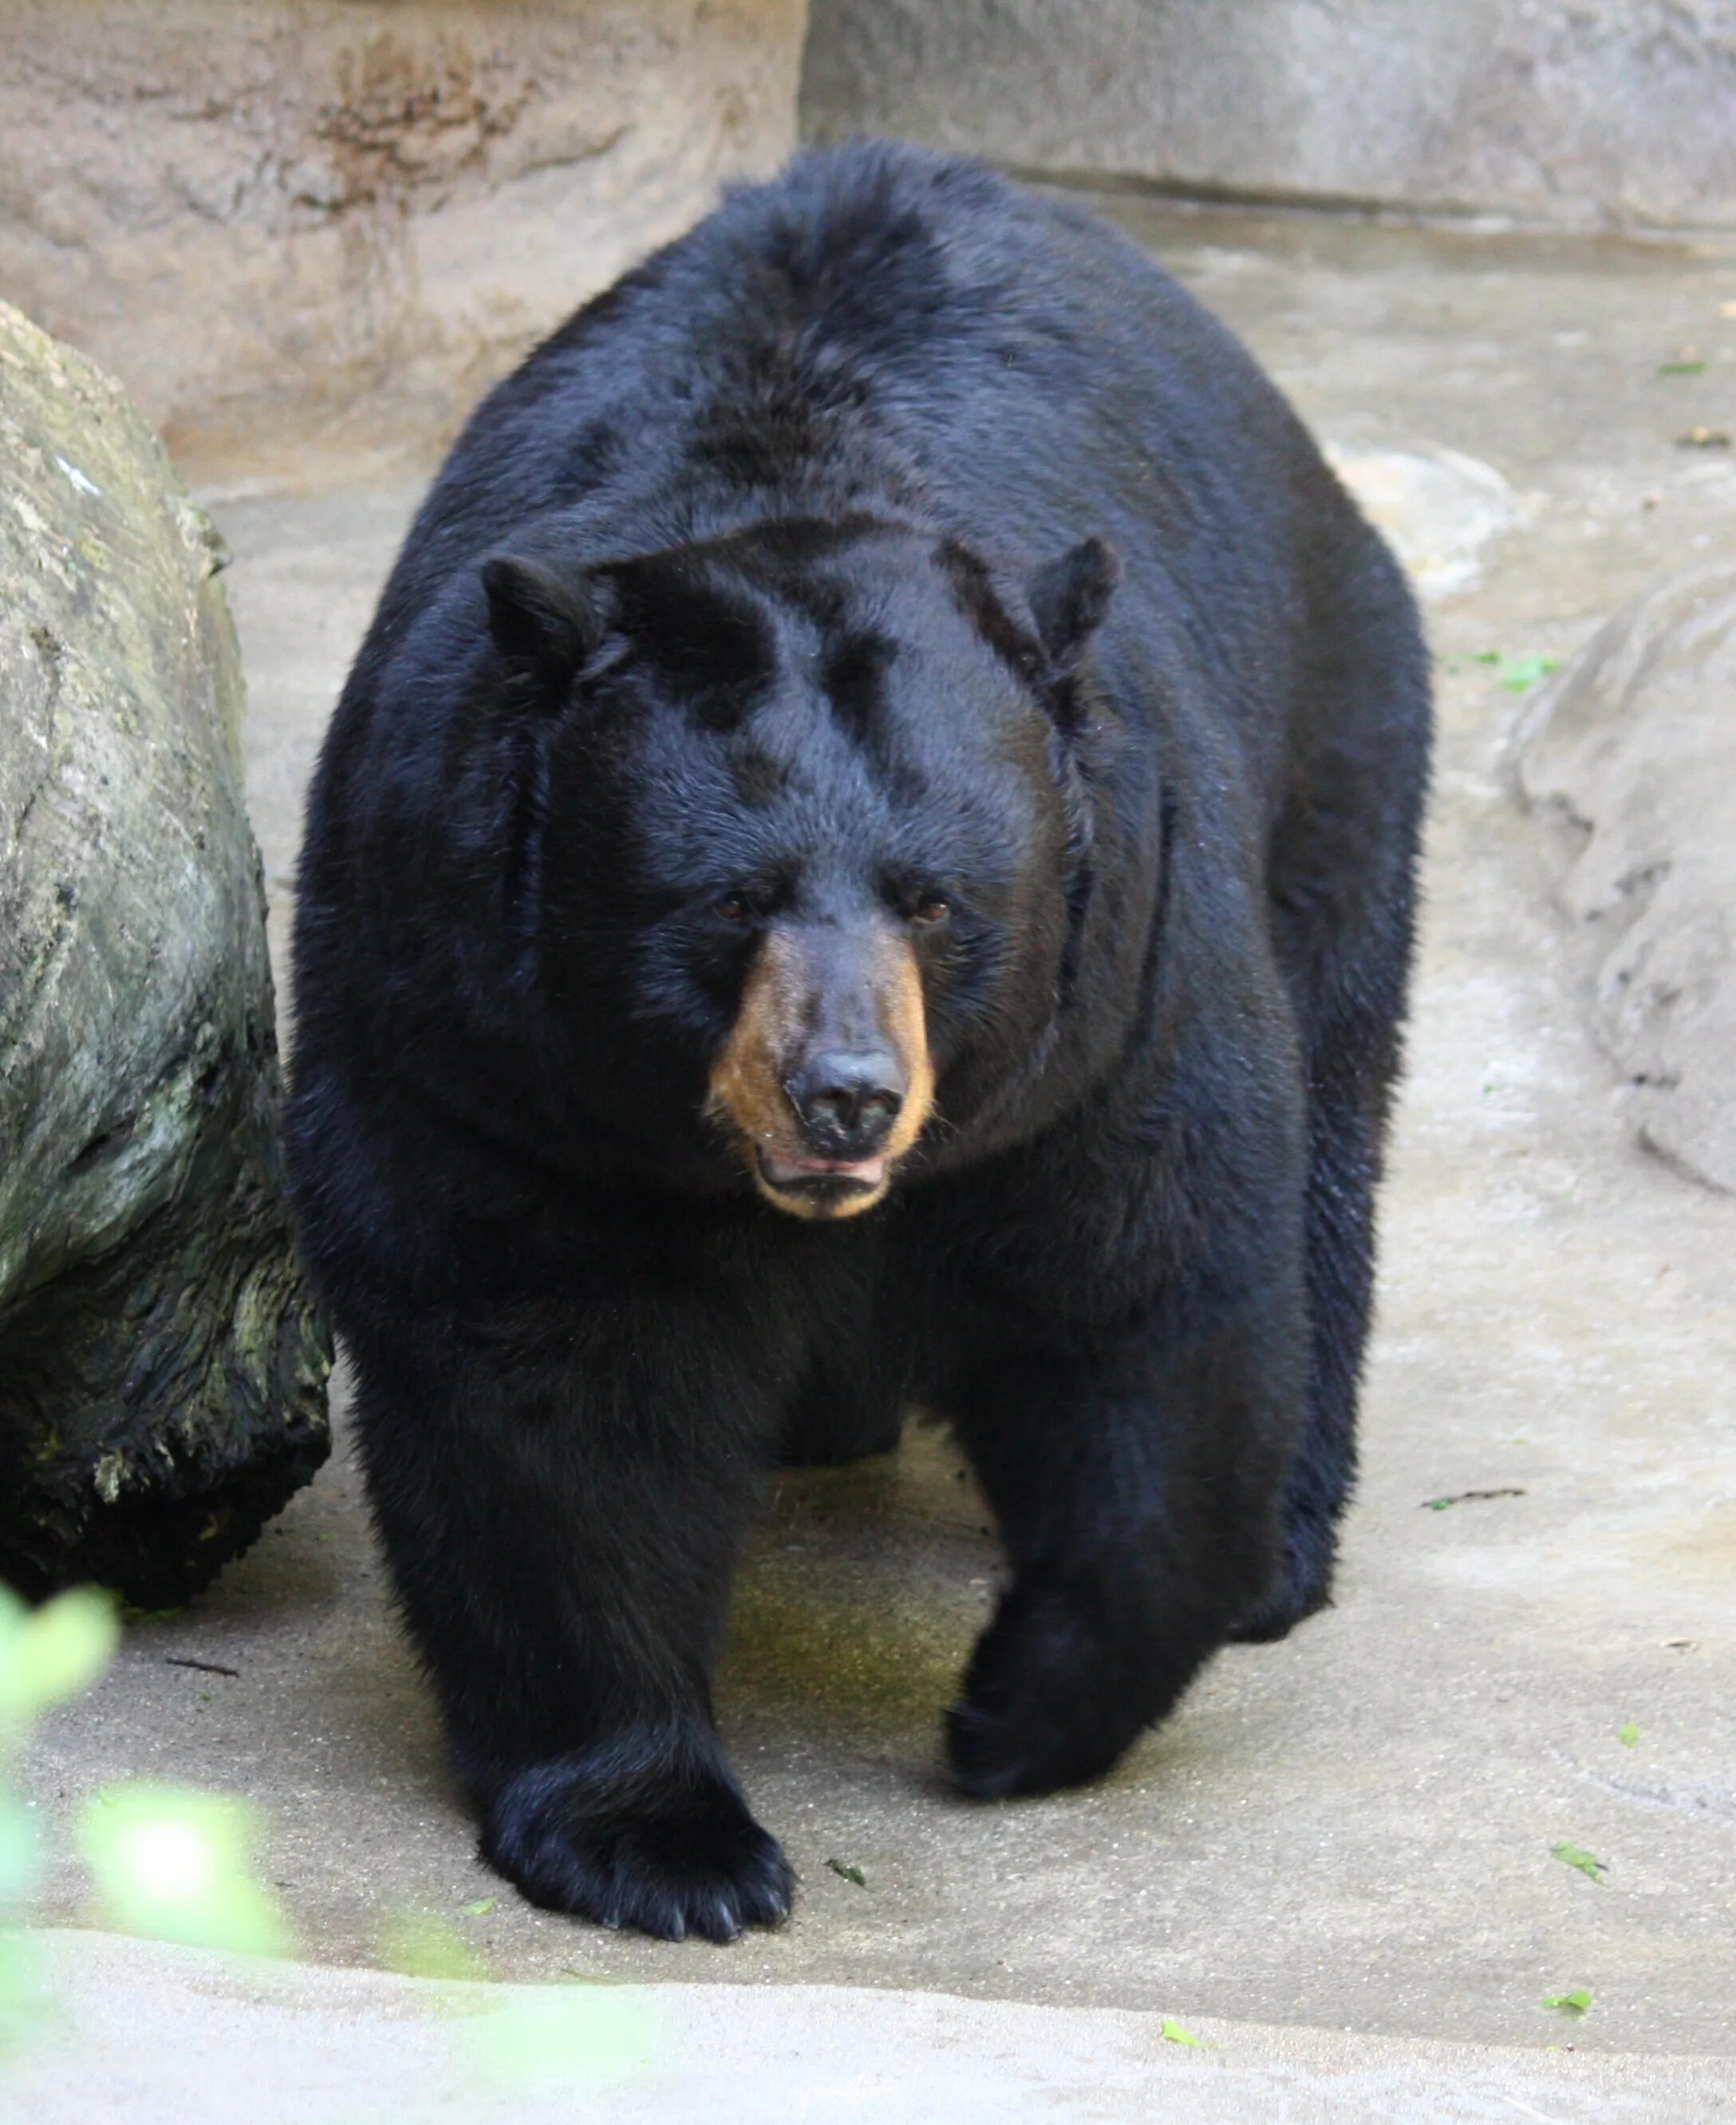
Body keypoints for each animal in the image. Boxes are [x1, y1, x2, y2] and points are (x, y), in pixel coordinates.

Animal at [284, 141, 1419, 1946]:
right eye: (731, 900)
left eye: (935, 900)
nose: (845, 1099)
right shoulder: (490, 1056)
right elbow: (548, 1384)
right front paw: (661, 1840)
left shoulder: (1109, 1008)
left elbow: (1150, 1302)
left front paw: (1019, 1709)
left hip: (1332, 747)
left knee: (1328, 1126)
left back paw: (1282, 1558)